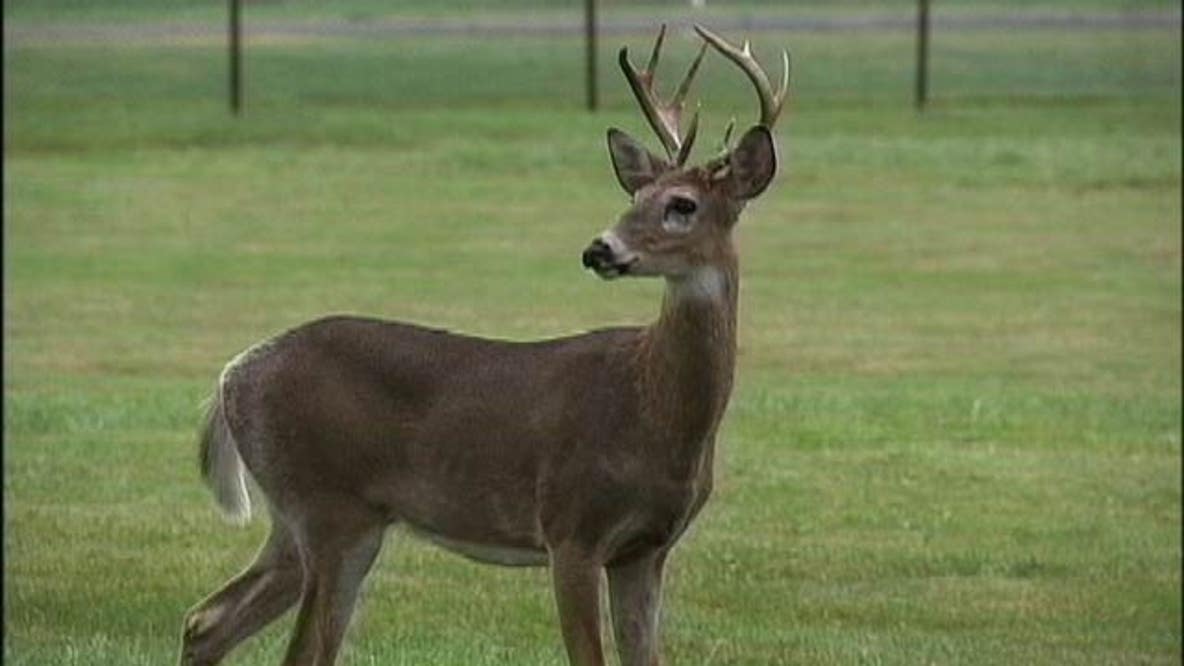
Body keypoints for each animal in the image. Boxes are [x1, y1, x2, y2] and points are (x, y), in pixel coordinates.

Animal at [179, 24, 789, 666]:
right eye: (634, 198)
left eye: (682, 205)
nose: (598, 249)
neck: (655, 409)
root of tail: (230, 376)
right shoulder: (570, 526)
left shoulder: (645, 549)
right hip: (330, 510)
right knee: (294, 647)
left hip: (304, 522)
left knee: (207, 619)